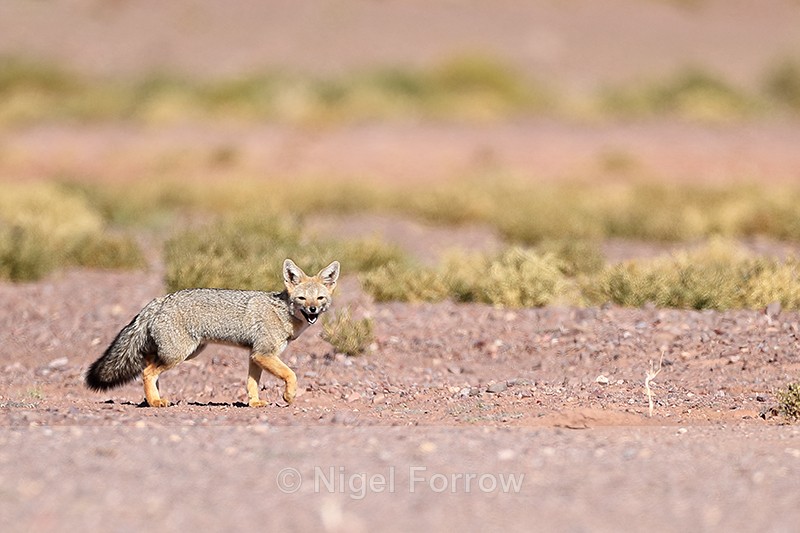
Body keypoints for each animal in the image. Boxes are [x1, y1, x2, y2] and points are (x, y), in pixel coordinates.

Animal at [85, 259, 340, 407]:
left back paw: (152, 399)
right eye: (302, 299)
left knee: (148, 367)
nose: (313, 310)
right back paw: (155, 402)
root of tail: (160, 299)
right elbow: (291, 374)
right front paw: (289, 396)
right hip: (179, 354)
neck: (283, 312)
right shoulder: (264, 354)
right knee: (147, 372)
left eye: (320, 298)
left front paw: (254, 403)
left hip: (186, 352)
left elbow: (252, 383)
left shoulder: (255, 355)